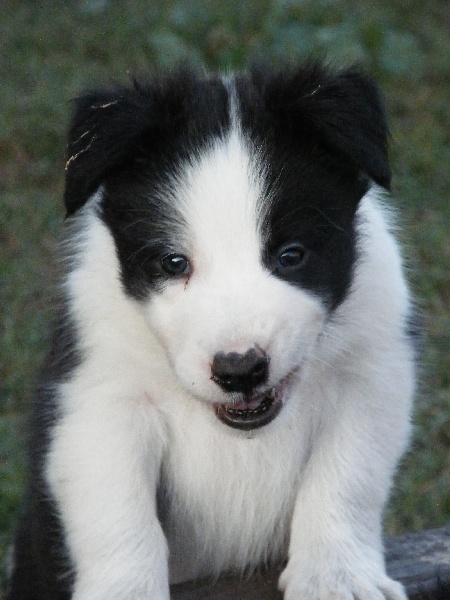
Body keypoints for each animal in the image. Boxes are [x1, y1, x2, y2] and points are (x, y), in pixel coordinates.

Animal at [8, 62, 417, 600]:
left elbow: (346, 477)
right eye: (173, 262)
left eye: (291, 255)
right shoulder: (100, 395)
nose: (240, 371)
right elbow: (119, 514)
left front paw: (336, 577)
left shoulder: (372, 372)